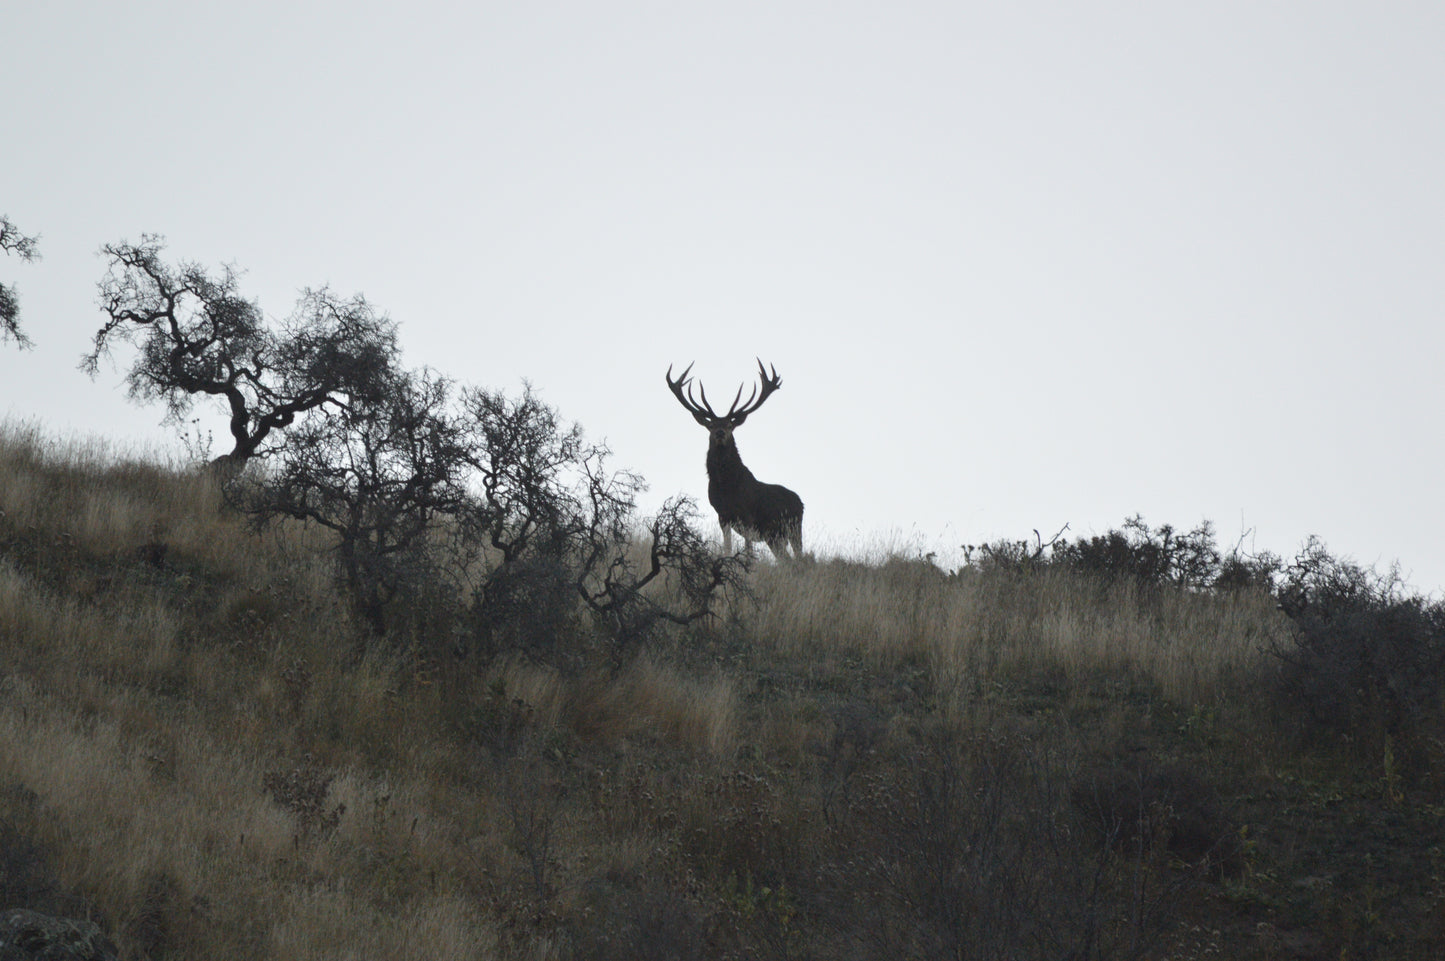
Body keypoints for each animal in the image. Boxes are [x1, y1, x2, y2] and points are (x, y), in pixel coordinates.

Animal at [665, 358, 804, 560]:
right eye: (710, 425)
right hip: (774, 536)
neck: (726, 487)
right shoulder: (722, 514)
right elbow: (727, 547)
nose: (720, 432)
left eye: (730, 425)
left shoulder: (747, 515)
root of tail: (801, 503)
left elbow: (748, 549)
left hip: (793, 528)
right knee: (785, 559)